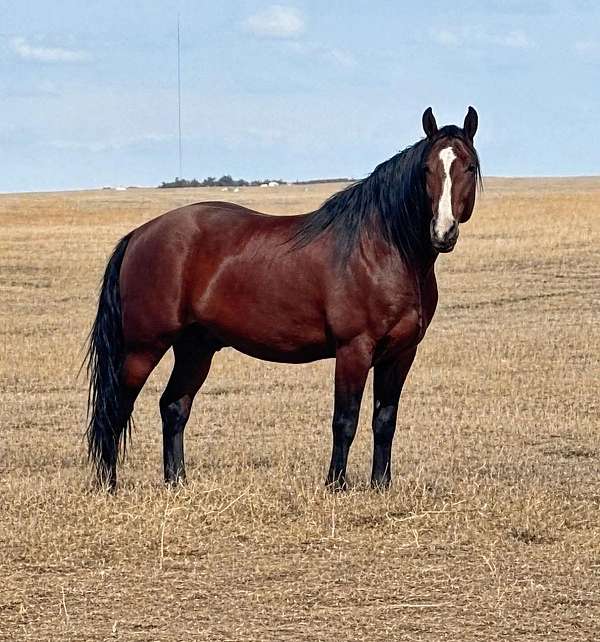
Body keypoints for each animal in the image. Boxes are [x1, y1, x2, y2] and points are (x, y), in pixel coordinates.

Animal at [86, 106, 481, 491]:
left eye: (469, 166)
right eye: (426, 169)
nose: (442, 232)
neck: (382, 251)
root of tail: (140, 234)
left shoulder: (400, 354)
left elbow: (384, 421)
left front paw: (381, 485)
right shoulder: (353, 350)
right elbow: (345, 420)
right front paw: (336, 484)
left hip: (194, 348)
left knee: (173, 406)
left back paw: (176, 482)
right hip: (143, 348)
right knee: (116, 408)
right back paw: (108, 485)